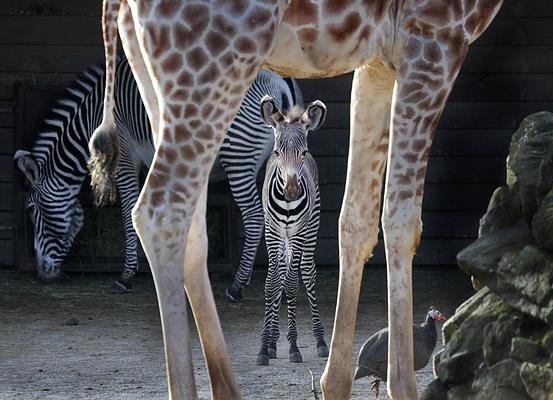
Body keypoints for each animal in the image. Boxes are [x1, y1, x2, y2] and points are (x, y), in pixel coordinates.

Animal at [12, 57, 300, 294]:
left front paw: (127, 276)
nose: (43, 274)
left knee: (254, 216)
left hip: (238, 156)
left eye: (31, 209)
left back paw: (238, 286)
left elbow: (128, 211)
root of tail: (280, 82)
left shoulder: (125, 157)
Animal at [256, 96, 328, 366]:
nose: (293, 191)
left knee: (306, 272)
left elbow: (291, 284)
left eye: (303, 153)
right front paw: (264, 346)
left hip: (311, 227)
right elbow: (272, 283)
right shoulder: (273, 232)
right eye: (277, 153)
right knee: (280, 273)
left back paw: (320, 341)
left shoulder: (297, 233)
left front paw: (293, 346)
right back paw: (273, 340)